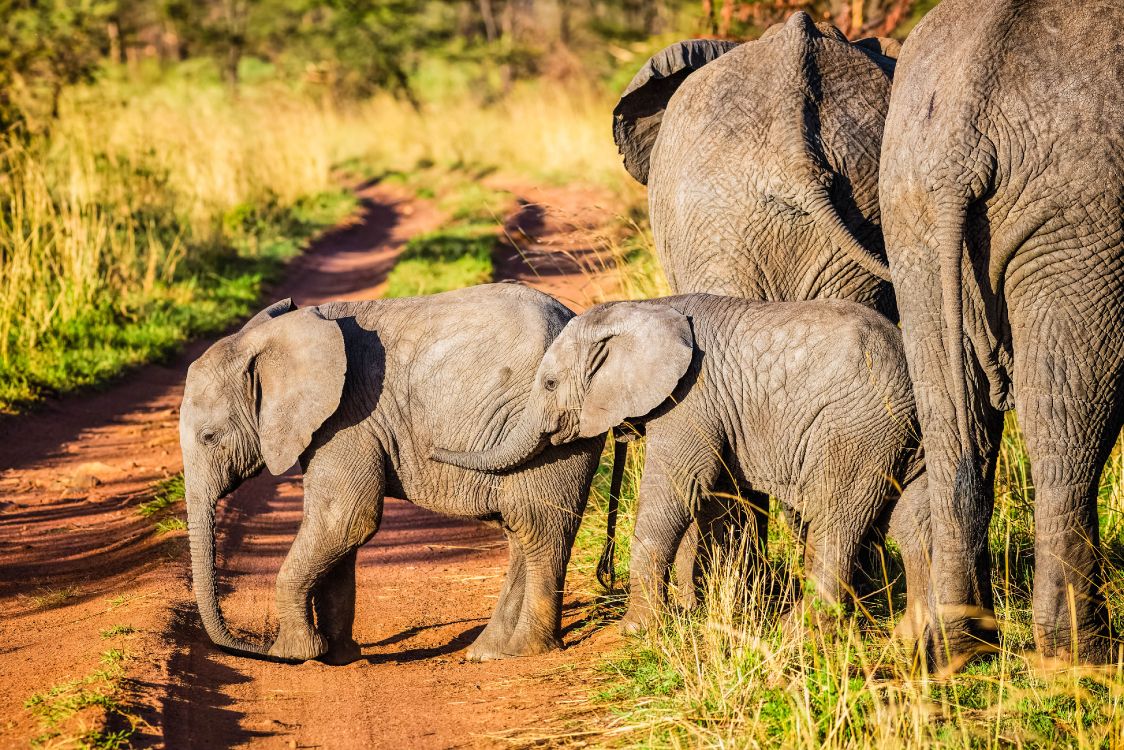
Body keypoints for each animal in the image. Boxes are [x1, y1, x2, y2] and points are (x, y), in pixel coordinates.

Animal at [179, 284, 603, 664]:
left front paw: (294, 653)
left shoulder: (347, 419)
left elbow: (345, 519)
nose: (252, 647)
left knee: (537, 528)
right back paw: (488, 651)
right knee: (522, 532)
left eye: (209, 437)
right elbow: (339, 530)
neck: (274, 337)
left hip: (552, 427)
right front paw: (338, 657)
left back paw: (525, 650)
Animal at [432, 295, 931, 636]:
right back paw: (913, 637)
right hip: (904, 437)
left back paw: (800, 632)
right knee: (913, 521)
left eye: (550, 383)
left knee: (836, 519)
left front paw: (636, 630)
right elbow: (710, 498)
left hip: (858, 426)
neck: (647, 308)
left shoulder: (691, 398)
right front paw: (699, 610)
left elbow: (676, 490)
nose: (434, 449)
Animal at [880, 0, 1124, 668]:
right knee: (1066, 431)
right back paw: (1082, 657)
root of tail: (961, 144)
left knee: (954, 425)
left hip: (910, 211)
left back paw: (960, 646)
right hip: (1081, 223)